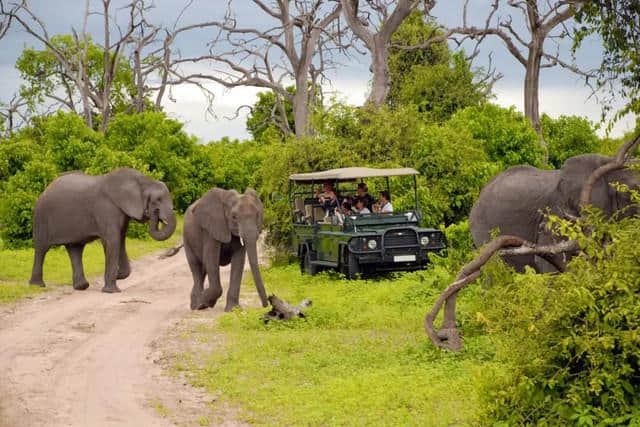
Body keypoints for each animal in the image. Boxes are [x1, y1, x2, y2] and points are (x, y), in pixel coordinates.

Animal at [29, 169, 176, 292]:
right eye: (157, 200)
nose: (155, 213)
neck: (143, 180)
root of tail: (46, 188)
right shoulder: (106, 208)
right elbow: (112, 241)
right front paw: (111, 290)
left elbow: (120, 240)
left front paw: (118, 275)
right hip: (41, 217)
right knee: (41, 249)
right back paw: (37, 286)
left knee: (75, 249)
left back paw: (81, 287)